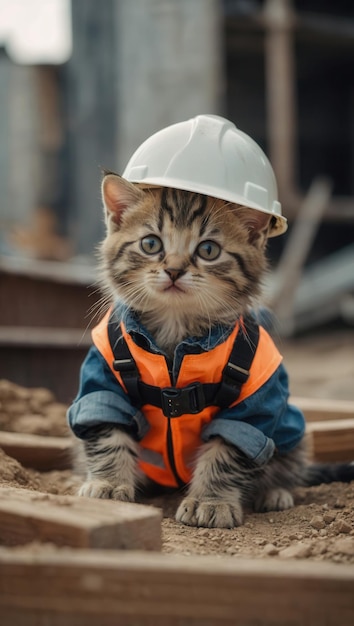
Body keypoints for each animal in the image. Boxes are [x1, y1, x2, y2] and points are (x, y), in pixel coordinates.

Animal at [68, 174, 354, 528]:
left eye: (208, 250)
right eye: (151, 244)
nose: (174, 270)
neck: (176, 329)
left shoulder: (256, 403)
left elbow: (227, 450)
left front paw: (211, 501)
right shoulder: (103, 379)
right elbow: (107, 428)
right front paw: (107, 483)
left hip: (292, 430)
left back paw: (274, 492)